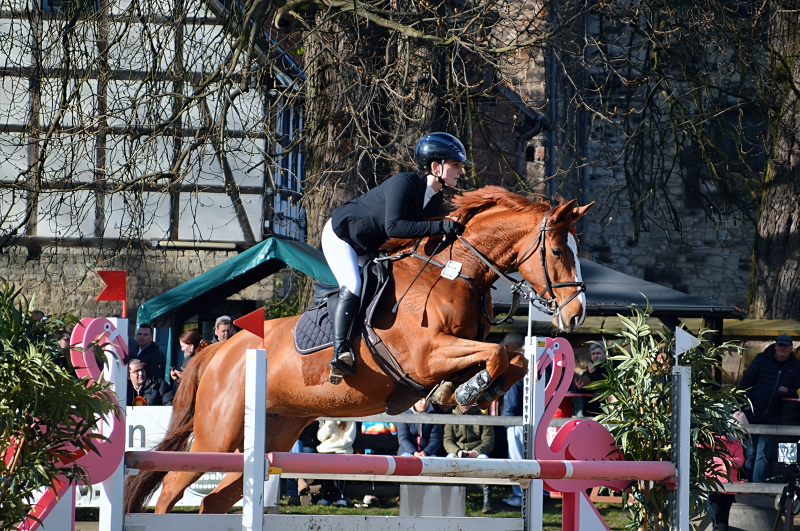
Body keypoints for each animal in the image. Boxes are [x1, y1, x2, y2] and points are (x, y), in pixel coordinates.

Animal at [126, 187, 592, 516]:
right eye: (556, 251)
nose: (575, 315)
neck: (455, 270)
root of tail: (219, 349)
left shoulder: (456, 350)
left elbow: (513, 358)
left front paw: (467, 391)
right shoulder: (427, 355)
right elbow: (493, 355)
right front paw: (463, 391)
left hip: (271, 434)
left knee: (214, 501)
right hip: (217, 435)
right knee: (169, 488)